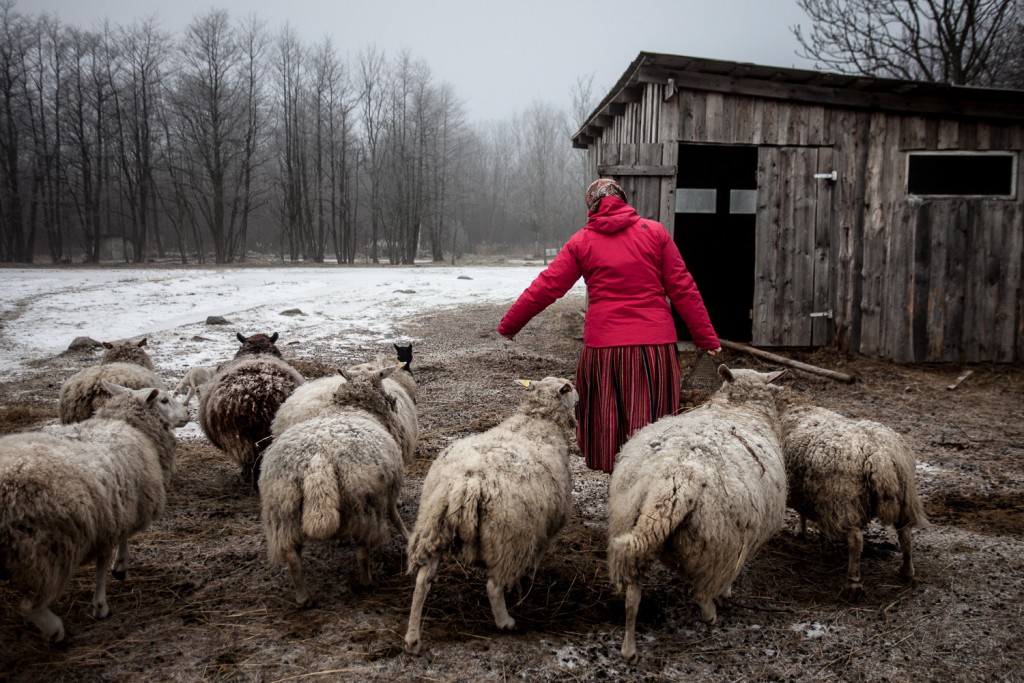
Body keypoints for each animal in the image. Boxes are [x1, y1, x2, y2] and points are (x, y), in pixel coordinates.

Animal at [0, 382, 188, 643]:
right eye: (164, 400)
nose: (188, 413)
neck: (128, 425)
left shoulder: (114, 505)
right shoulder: (115, 509)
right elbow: (105, 557)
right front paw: (103, 600)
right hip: (43, 549)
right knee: (31, 605)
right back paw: (54, 630)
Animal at [260, 366, 407, 606]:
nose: (394, 402)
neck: (353, 408)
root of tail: (319, 457)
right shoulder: (388, 491)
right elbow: (395, 516)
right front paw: (407, 536)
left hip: (283, 509)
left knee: (292, 556)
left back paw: (303, 597)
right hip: (363, 504)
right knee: (362, 551)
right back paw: (366, 582)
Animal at [403, 376, 581, 655]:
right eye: (569, 388)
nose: (581, 394)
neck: (538, 420)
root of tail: (468, 482)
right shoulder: (543, 530)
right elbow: (533, 564)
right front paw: (524, 588)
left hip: (433, 527)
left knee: (422, 581)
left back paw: (412, 638)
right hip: (506, 539)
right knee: (493, 586)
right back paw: (506, 621)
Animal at [774, 397, 929, 602]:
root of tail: (878, 455)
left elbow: (801, 512)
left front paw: (801, 530)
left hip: (842, 500)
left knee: (856, 541)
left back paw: (853, 583)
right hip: (906, 495)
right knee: (905, 534)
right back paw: (906, 571)